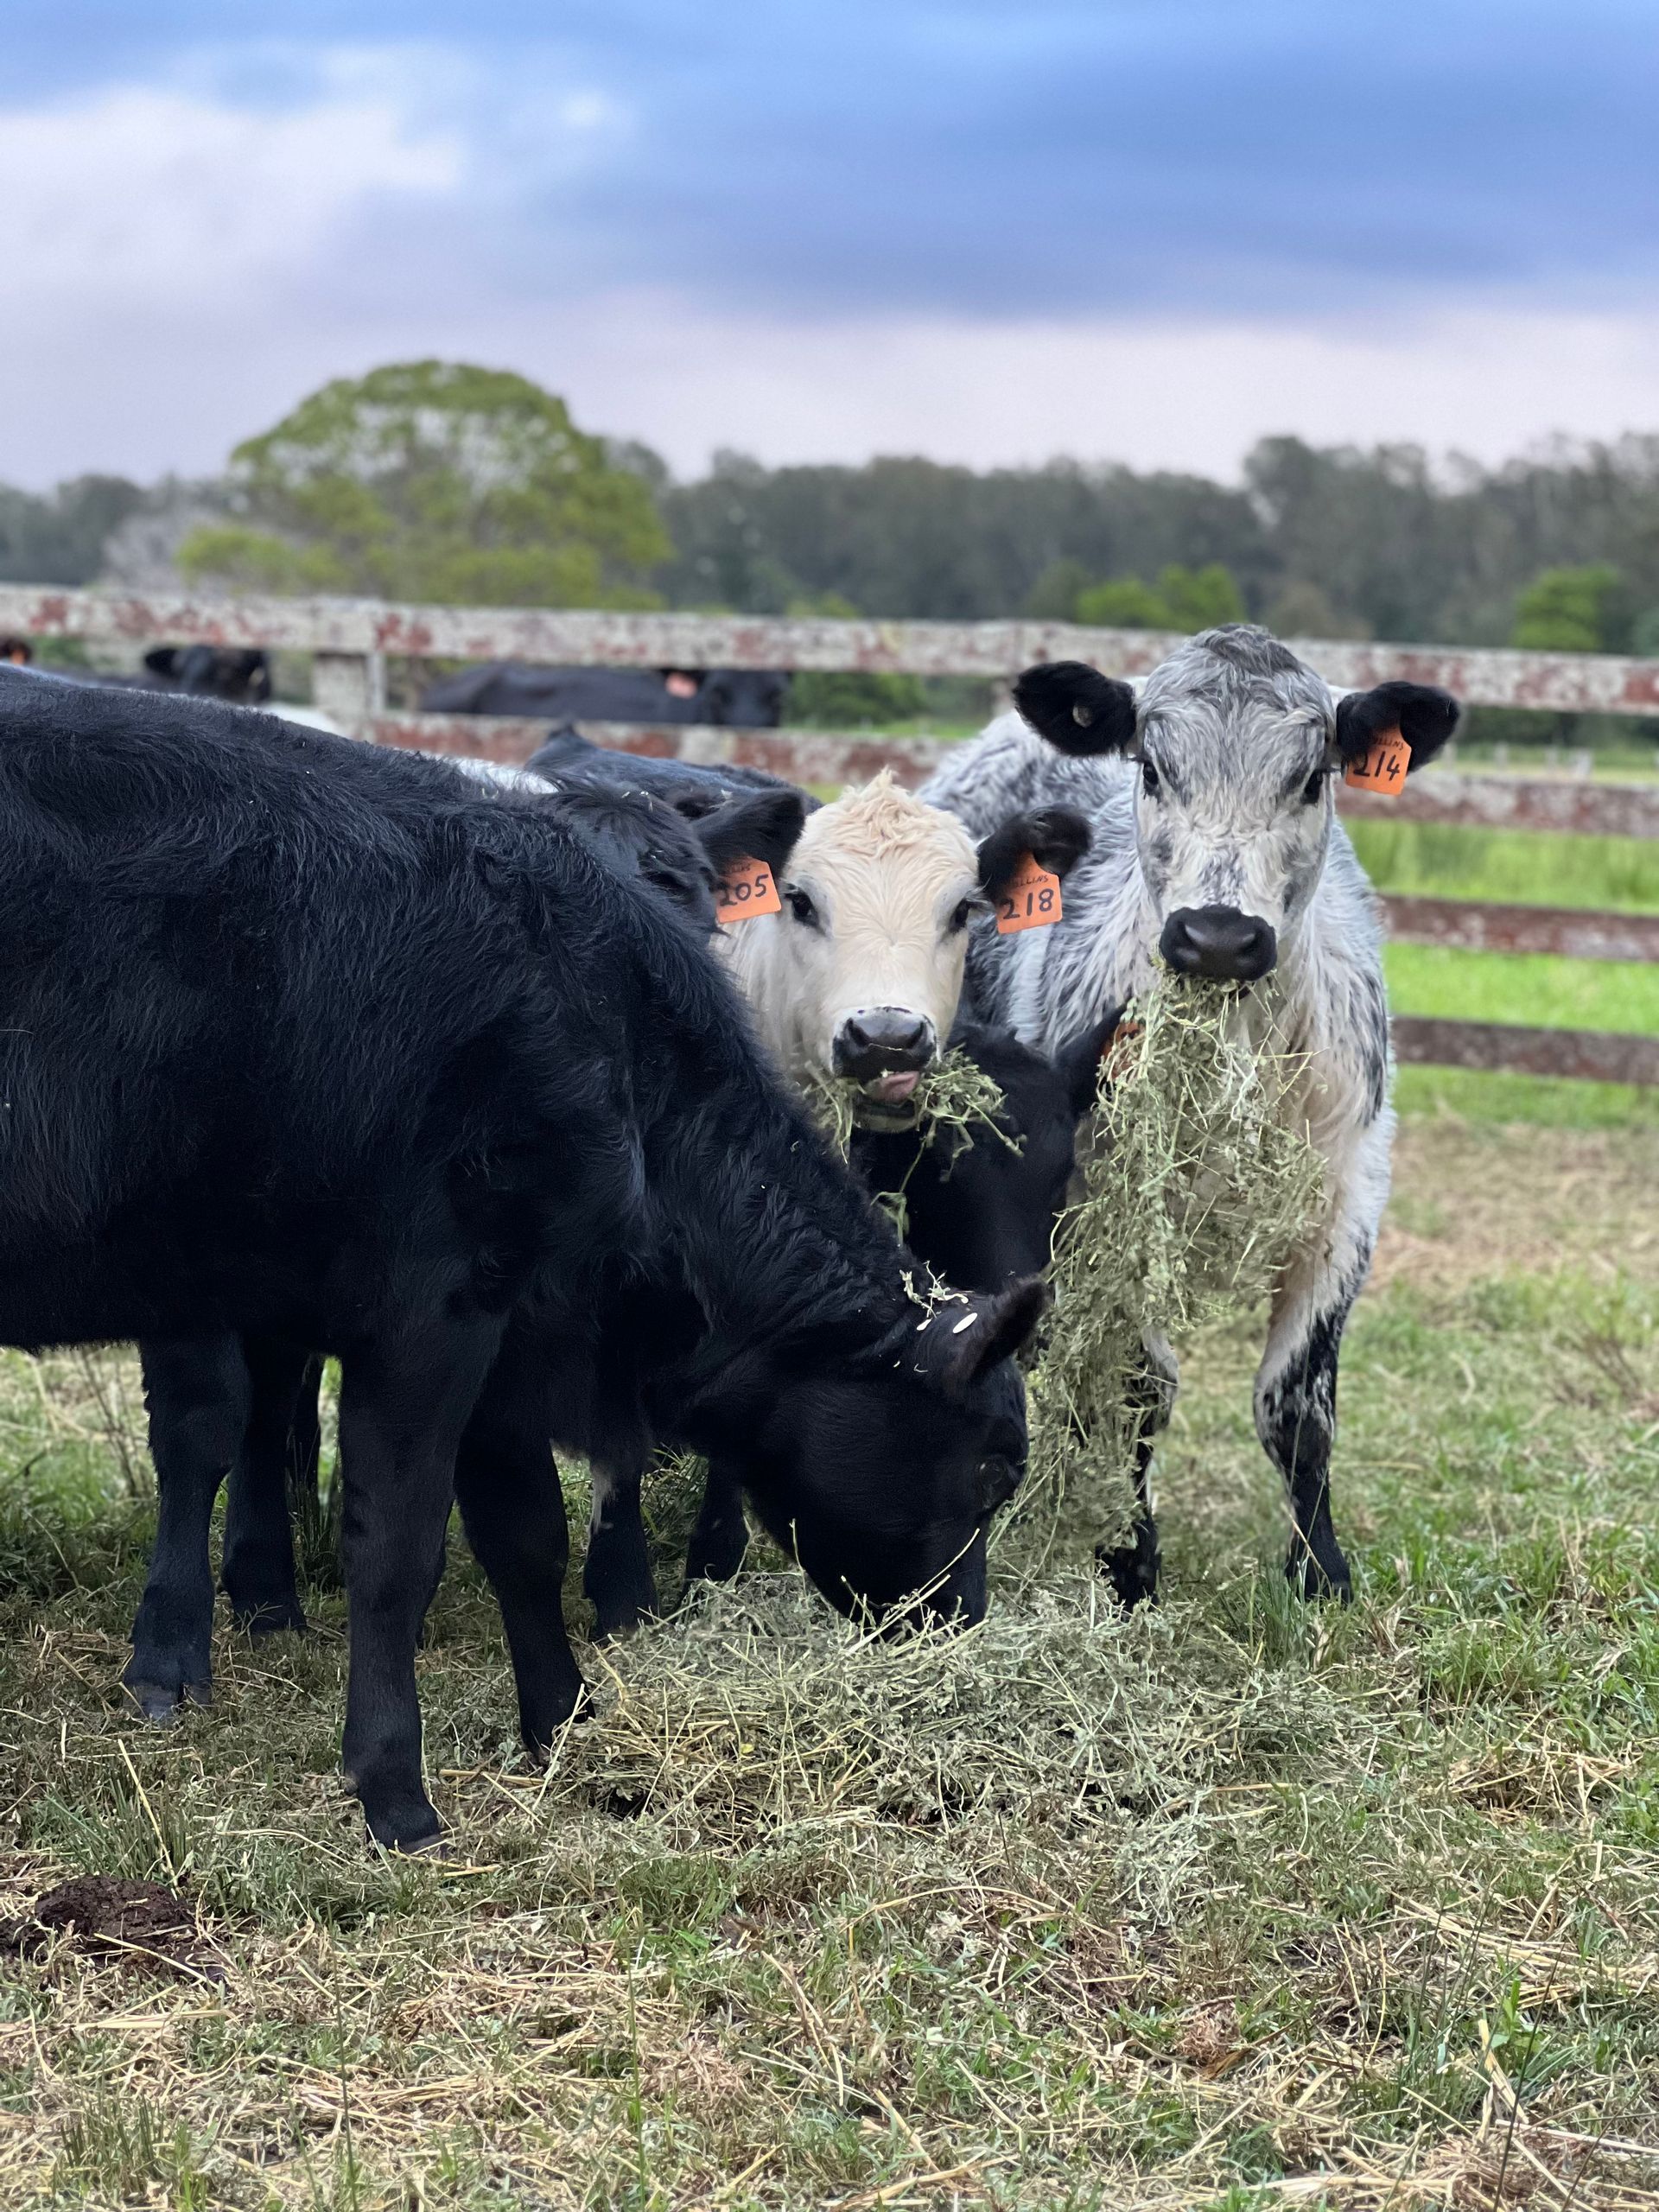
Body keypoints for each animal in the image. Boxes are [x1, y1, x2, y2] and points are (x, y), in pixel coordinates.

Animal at [0, 668, 1044, 1849]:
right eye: (994, 1469)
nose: (963, 1624)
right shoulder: (431, 1312)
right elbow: (396, 1549)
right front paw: (394, 1787)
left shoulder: (517, 1318)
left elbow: (526, 1532)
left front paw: (563, 1718)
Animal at [919, 625, 1460, 1605]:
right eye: (1153, 767)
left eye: (1312, 776)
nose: (1217, 936)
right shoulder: (1104, 1208)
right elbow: (1136, 1387)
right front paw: (1130, 1559)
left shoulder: (1347, 1199)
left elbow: (1297, 1402)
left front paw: (1318, 1571)